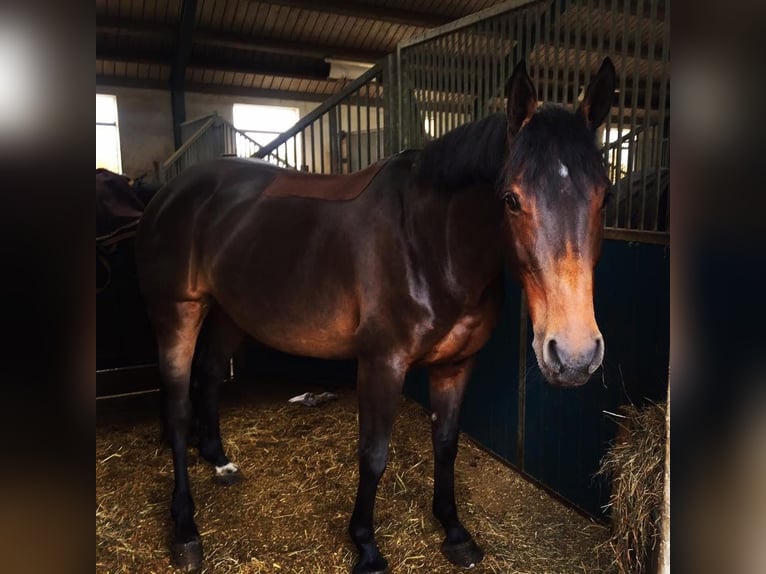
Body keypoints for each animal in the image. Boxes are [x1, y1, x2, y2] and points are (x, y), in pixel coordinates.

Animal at [135, 57, 616, 573]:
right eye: (510, 198)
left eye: (604, 198)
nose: (573, 356)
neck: (430, 242)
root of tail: (169, 193)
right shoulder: (381, 363)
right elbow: (373, 454)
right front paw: (365, 545)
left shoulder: (455, 365)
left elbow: (446, 444)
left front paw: (454, 531)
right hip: (177, 314)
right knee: (177, 409)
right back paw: (185, 530)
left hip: (228, 313)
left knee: (208, 377)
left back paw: (220, 462)